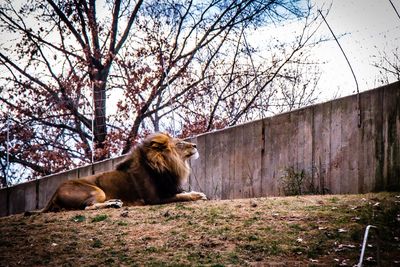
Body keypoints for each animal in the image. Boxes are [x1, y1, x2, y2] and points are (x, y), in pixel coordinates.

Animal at [27, 133, 206, 215]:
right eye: (180, 143)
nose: (196, 145)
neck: (169, 165)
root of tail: (54, 192)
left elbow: (182, 193)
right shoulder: (154, 199)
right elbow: (181, 196)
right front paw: (198, 195)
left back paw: (114, 203)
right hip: (96, 190)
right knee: (87, 207)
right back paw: (113, 204)